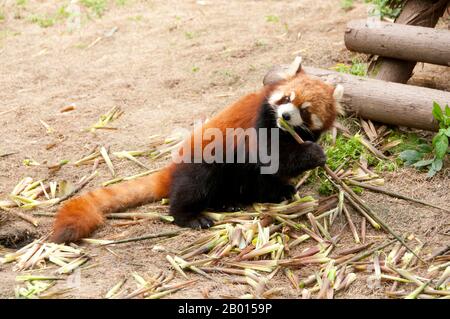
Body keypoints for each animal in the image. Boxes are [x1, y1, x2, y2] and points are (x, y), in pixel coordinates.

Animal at [50, 57, 344, 242]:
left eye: (304, 110)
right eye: (286, 98)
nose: (284, 116)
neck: (284, 130)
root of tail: (173, 167)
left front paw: (289, 180)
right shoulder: (259, 122)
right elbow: (273, 157)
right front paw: (314, 155)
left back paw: (236, 200)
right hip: (202, 163)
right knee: (192, 189)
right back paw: (192, 216)